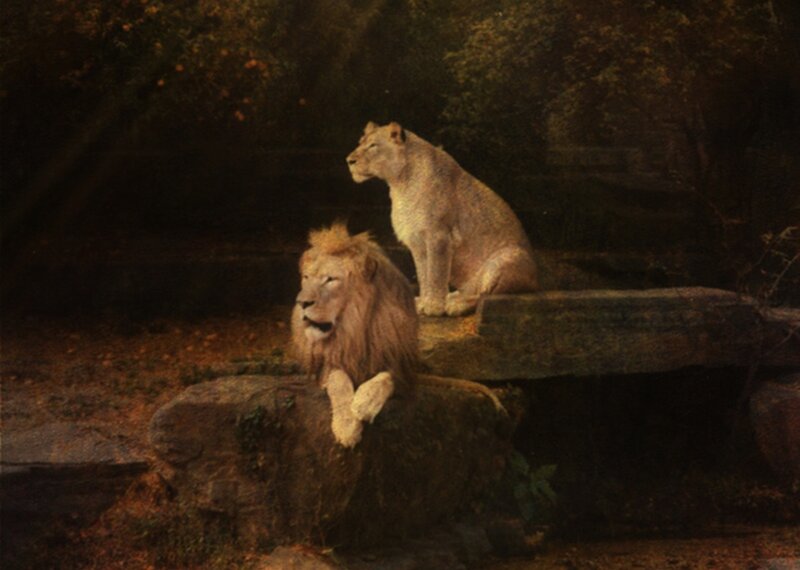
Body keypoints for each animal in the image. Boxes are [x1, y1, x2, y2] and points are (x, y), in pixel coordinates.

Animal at [291, 223, 504, 448]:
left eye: (330, 279)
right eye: (306, 278)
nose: (301, 302)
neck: (355, 326)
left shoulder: (400, 363)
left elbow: (387, 377)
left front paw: (364, 403)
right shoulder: (327, 365)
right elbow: (338, 380)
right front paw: (347, 427)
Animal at [346, 121, 539, 317]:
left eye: (373, 146)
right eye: (360, 143)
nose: (349, 160)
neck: (400, 184)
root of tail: (536, 281)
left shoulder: (438, 236)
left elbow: (436, 274)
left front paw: (434, 306)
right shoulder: (417, 241)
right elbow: (424, 274)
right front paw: (423, 302)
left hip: (502, 261)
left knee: (484, 295)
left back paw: (456, 305)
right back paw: (452, 297)